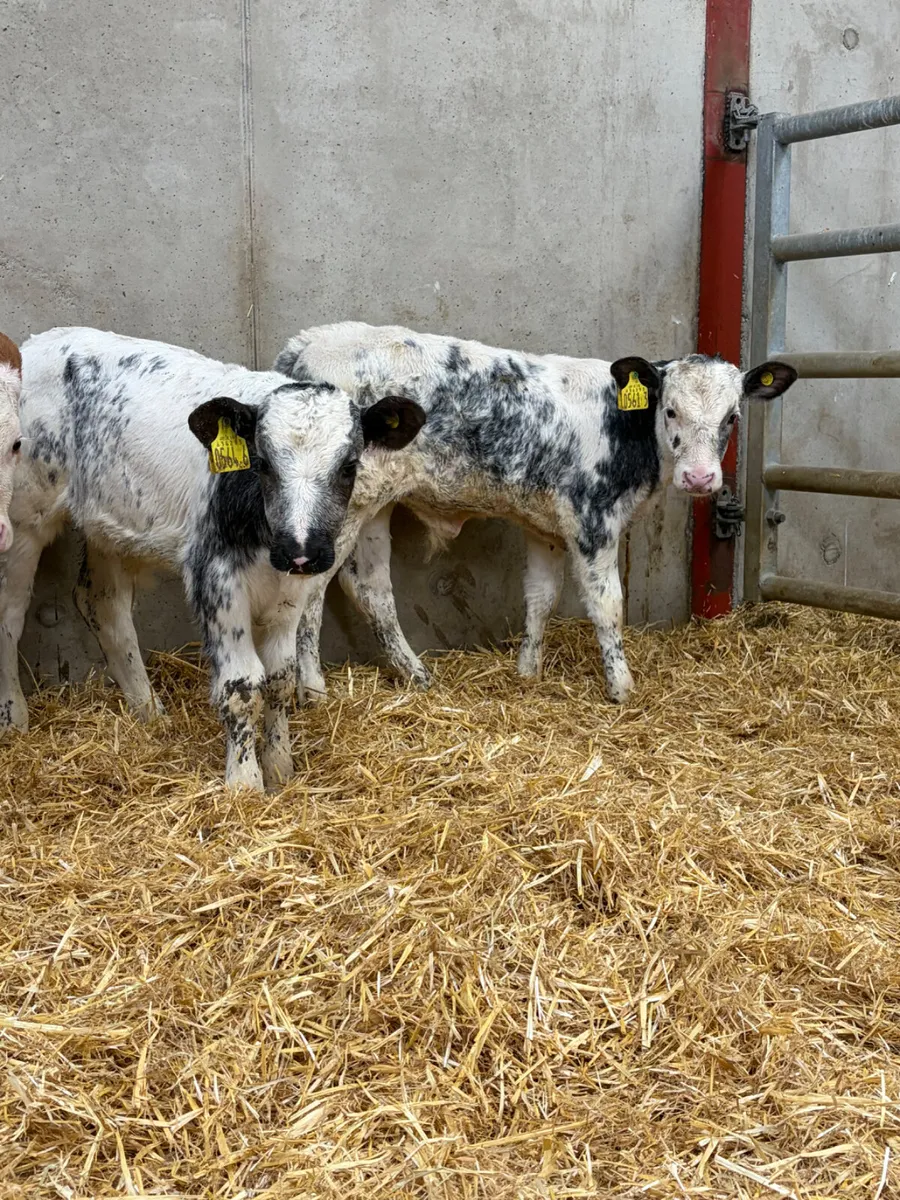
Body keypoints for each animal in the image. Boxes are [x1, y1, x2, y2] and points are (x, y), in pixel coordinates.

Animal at [0, 328, 424, 789]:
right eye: (262, 463)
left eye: (349, 466)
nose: (301, 550)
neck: (265, 540)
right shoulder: (216, 579)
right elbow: (242, 684)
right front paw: (245, 783)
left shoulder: (293, 588)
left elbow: (280, 676)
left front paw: (280, 768)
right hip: (21, 521)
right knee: (9, 615)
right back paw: (14, 718)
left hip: (109, 525)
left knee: (104, 605)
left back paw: (148, 711)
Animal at [273, 322, 797, 705]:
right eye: (670, 411)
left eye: (732, 416)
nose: (701, 478)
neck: (622, 425)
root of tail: (310, 340)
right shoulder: (593, 523)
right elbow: (608, 605)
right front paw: (621, 688)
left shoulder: (544, 527)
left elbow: (540, 597)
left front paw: (528, 671)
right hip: (340, 514)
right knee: (311, 595)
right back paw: (313, 688)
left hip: (376, 507)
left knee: (372, 589)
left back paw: (415, 673)